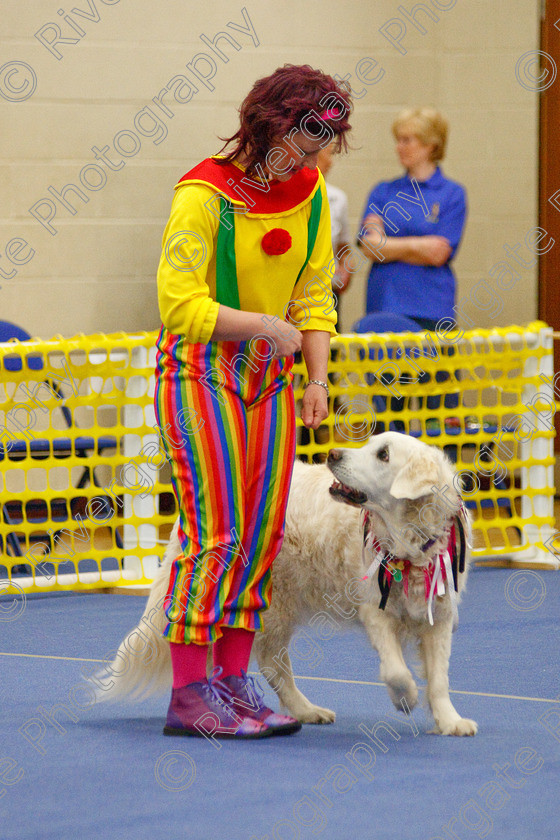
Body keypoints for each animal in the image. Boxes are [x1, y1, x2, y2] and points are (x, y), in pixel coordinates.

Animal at [95, 434, 476, 736]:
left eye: (383, 454)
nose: (332, 454)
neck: (411, 542)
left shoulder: (439, 617)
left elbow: (439, 679)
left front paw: (450, 721)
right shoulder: (375, 610)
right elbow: (396, 670)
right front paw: (406, 697)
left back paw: (297, 711)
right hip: (265, 599)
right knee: (266, 661)